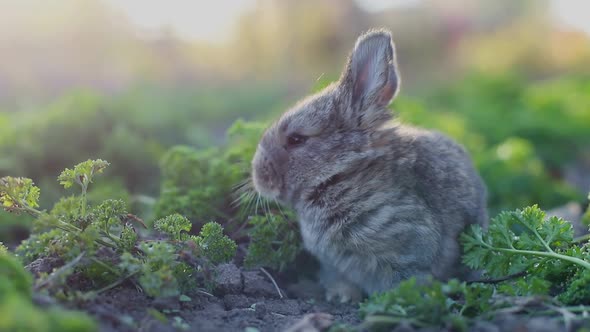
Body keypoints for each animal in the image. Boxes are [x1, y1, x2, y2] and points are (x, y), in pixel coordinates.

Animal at [252, 29, 488, 302]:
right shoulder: (334, 264)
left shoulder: (407, 249)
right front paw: (341, 296)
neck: (342, 173)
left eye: (296, 139)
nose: (257, 174)